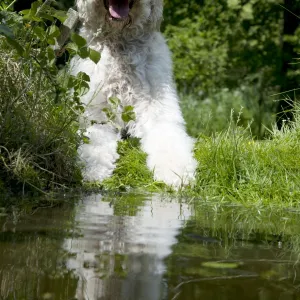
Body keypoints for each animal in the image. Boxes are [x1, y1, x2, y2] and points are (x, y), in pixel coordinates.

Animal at [70, 0, 197, 186]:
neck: (120, 41)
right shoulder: (96, 117)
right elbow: (94, 145)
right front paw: (93, 171)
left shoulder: (159, 114)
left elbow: (169, 141)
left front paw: (176, 174)